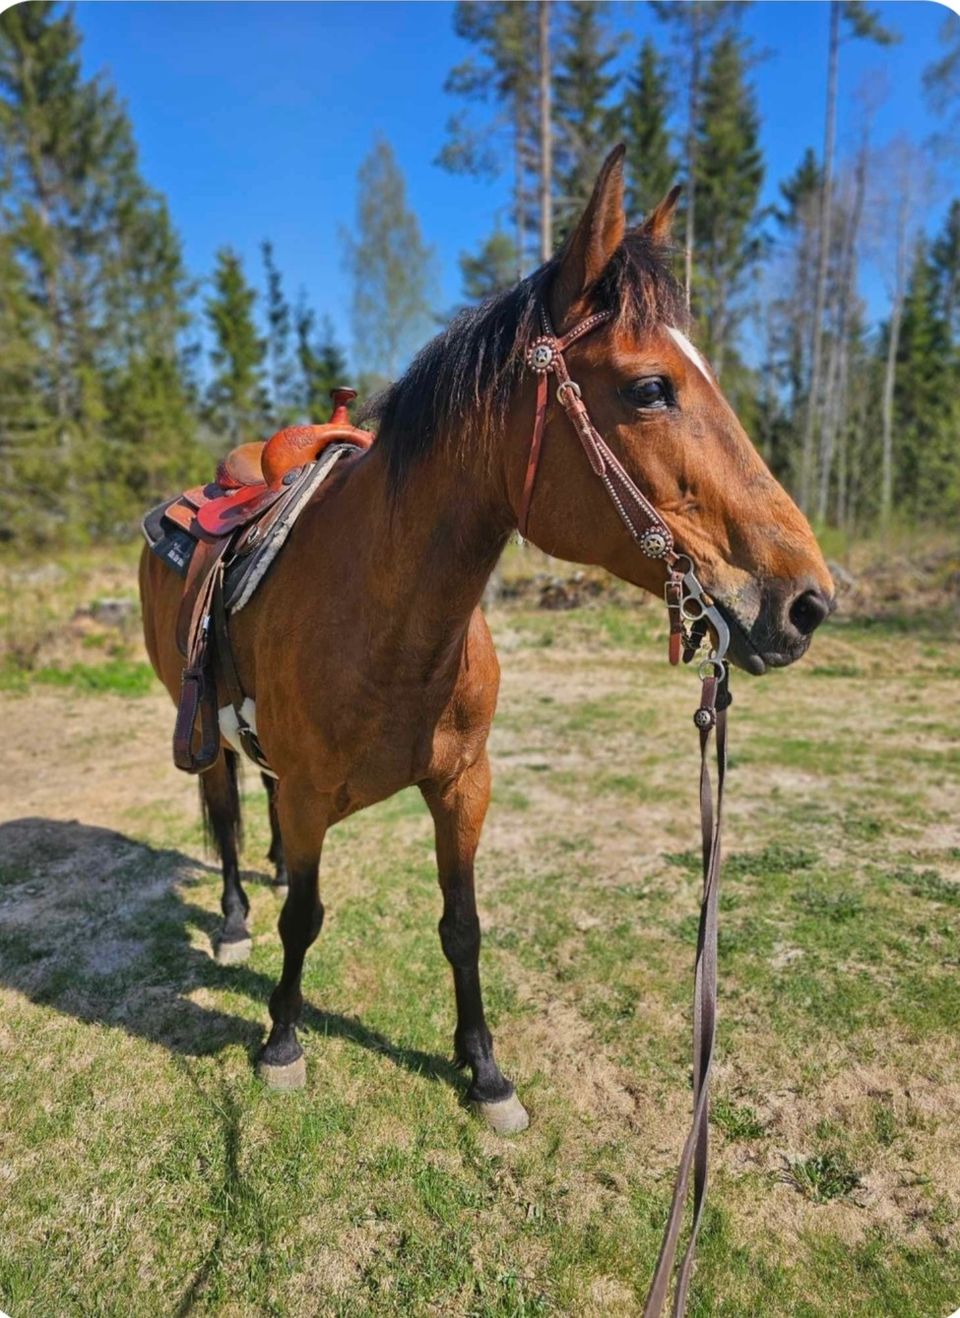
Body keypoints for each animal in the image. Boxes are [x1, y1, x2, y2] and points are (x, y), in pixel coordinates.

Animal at [137, 141, 833, 1133]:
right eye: (650, 388)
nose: (806, 602)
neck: (389, 621)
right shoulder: (311, 795)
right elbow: (306, 920)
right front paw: (281, 1040)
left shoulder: (464, 784)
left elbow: (461, 927)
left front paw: (486, 1072)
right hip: (198, 723)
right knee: (227, 809)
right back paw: (236, 915)